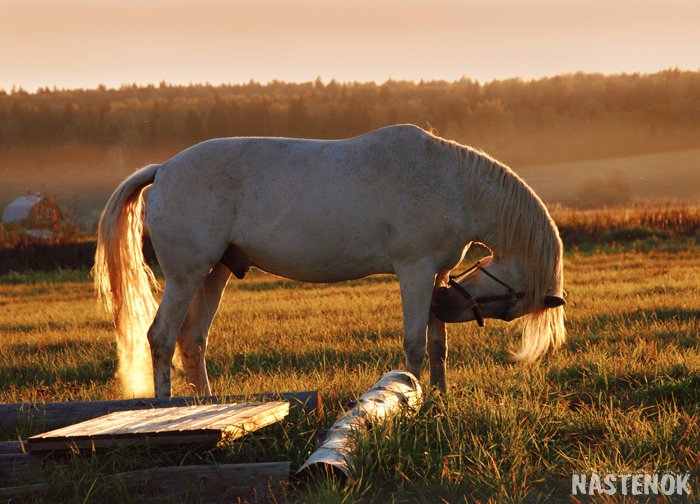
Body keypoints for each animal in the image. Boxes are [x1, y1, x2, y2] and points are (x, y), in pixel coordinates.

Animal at [93, 124, 566, 398]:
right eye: (512, 305)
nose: (447, 305)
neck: (452, 183)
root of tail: (164, 168)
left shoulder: (436, 274)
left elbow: (437, 346)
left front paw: (440, 401)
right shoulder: (415, 271)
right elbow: (414, 345)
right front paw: (413, 400)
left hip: (214, 273)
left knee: (192, 341)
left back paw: (206, 405)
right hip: (185, 276)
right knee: (161, 337)